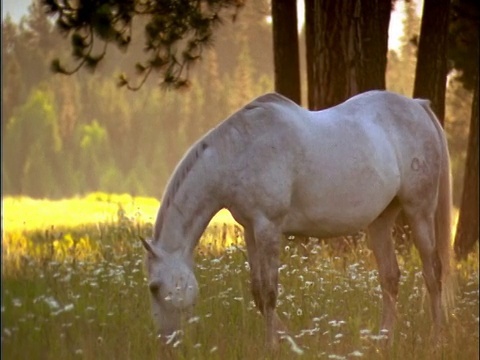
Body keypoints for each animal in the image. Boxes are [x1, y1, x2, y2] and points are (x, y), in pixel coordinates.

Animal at [142, 90, 454, 348]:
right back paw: (383, 342)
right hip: (381, 220)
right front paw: (291, 341)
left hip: (419, 210)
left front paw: (274, 347)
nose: (166, 343)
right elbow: (258, 292)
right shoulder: (251, 229)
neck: (237, 152)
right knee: (390, 278)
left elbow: (269, 293)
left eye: (154, 287)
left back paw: (436, 339)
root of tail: (417, 105)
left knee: (432, 273)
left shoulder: (269, 226)